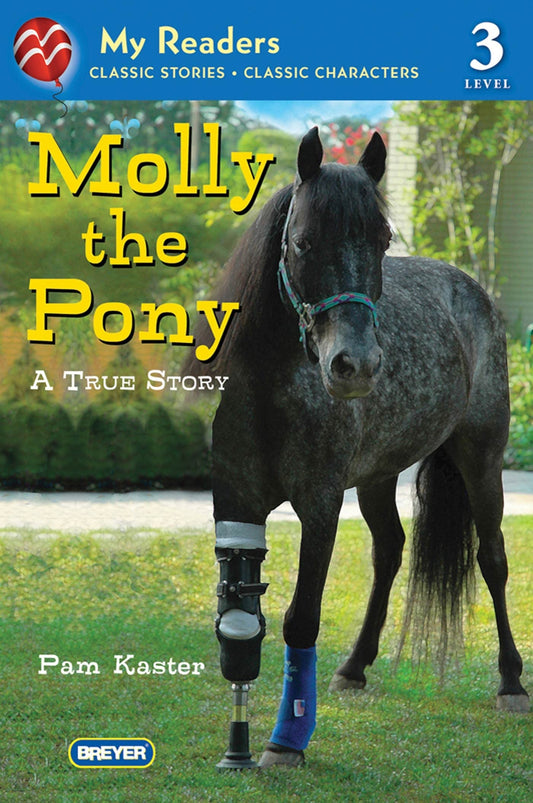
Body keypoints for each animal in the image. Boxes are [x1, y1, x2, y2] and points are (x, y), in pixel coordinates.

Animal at [188, 126, 529, 768]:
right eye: (303, 241)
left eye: (383, 238)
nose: (357, 366)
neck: (269, 384)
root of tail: (471, 290)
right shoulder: (236, 504)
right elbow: (240, 617)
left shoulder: (321, 506)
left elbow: (301, 618)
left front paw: (285, 743)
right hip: (376, 478)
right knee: (390, 550)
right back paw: (354, 666)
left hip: (482, 459)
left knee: (492, 559)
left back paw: (512, 682)